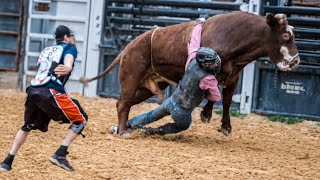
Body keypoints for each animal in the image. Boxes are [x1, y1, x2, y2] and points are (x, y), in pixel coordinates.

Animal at [80, 11, 300, 136]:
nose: (296, 60)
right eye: (285, 36)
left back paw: (123, 127)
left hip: (146, 88)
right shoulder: (216, 74)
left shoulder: (234, 76)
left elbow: (226, 100)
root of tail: (127, 48)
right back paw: (124, 131)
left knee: (128, 104)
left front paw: (225, 126)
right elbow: (213, 95)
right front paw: (206, 114)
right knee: (122, 103)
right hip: (131, 77)